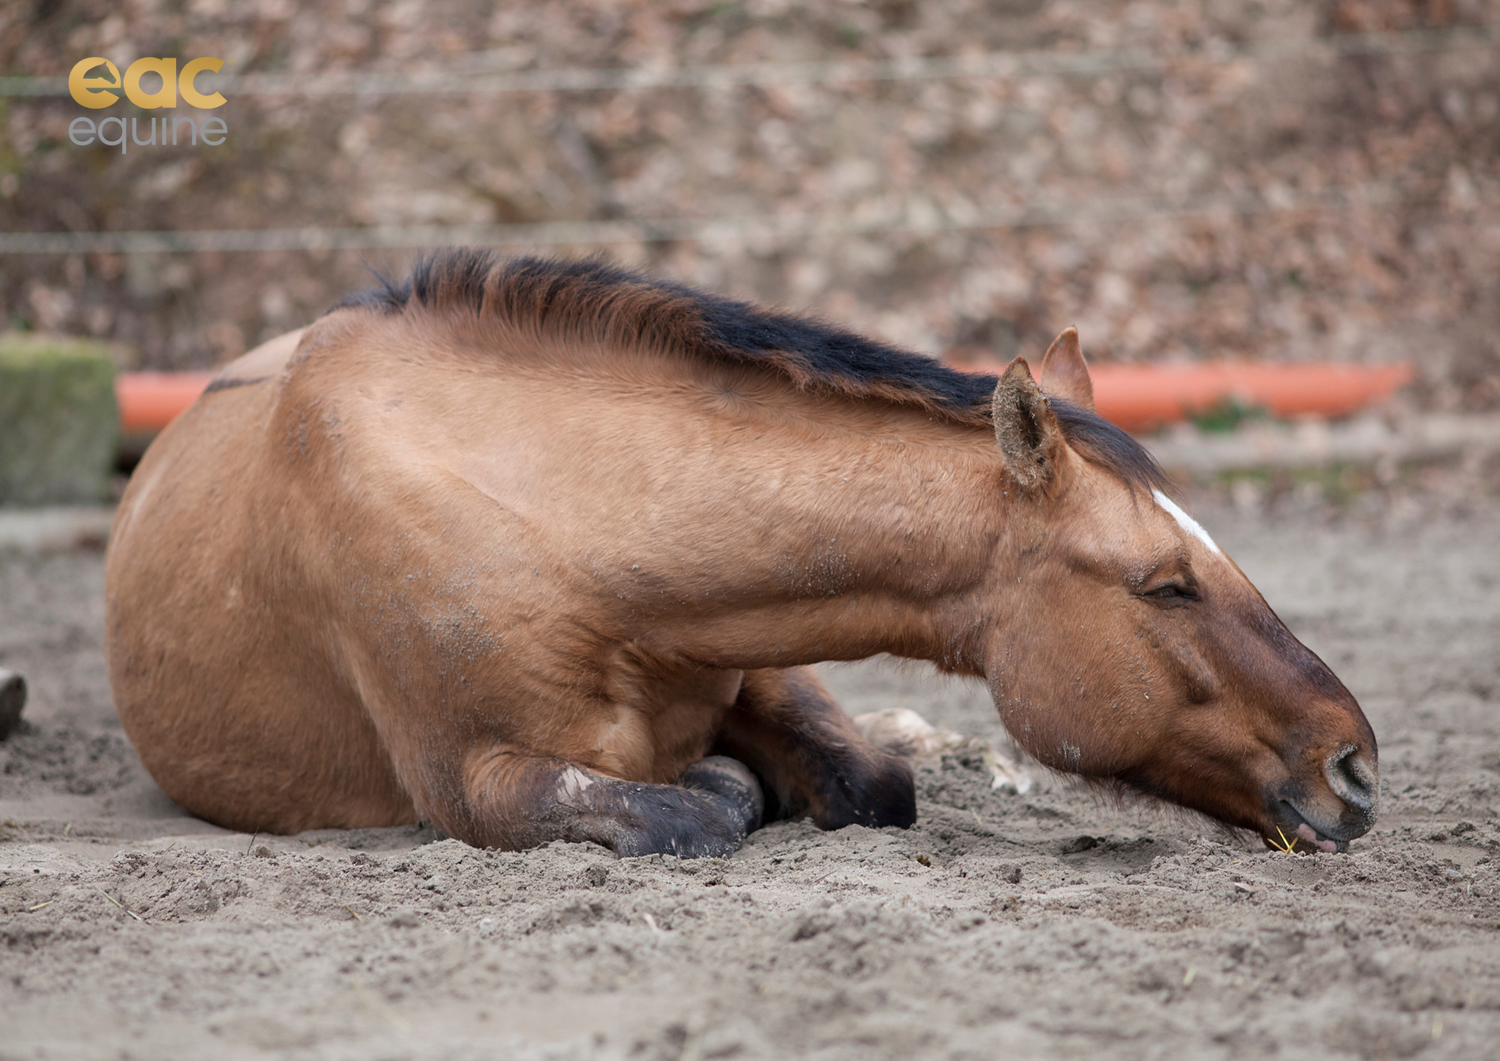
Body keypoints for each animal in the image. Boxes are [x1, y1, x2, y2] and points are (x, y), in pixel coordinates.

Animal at [104, 252, 1378, 858]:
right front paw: (726, 785)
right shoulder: (474, 780)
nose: (1355, 765)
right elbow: (692, 807)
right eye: (1165, 583)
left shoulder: (762, 650)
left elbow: (873, 780)